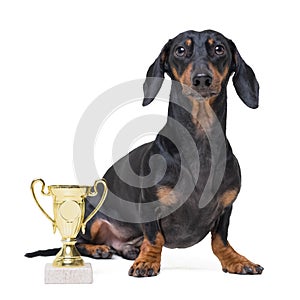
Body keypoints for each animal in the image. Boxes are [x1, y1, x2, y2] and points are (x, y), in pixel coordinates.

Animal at [27, 29, 264, 276]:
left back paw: (129, 249)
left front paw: (236, 260)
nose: (201, 79)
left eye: (219, 49)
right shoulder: (150, 206)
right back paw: (99, 249)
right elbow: (155, 237)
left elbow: (220, 240)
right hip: (90, 220)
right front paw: (147, 261)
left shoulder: (226, 208)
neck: (199, 143)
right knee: (81, 242)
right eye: (180, 50)